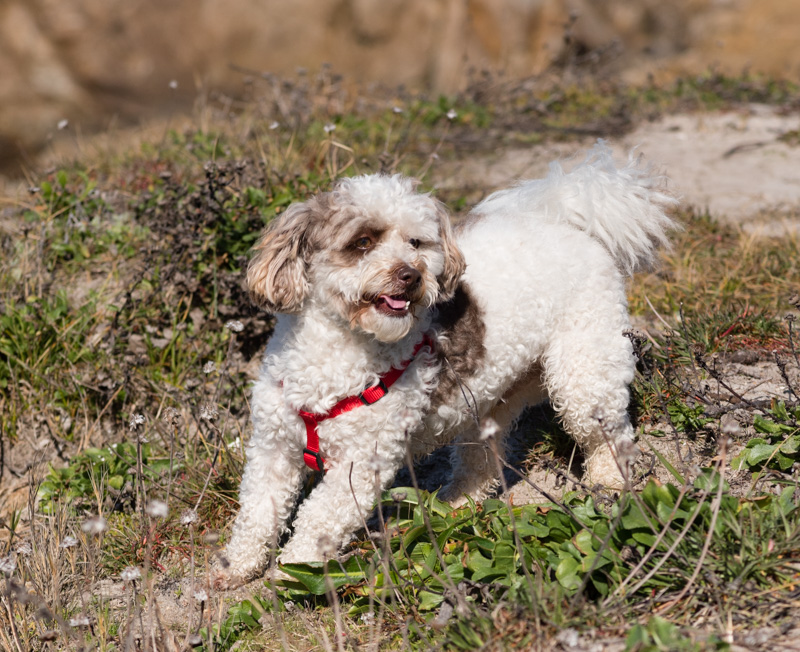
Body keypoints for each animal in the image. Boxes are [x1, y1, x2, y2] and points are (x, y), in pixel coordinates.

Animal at [214, 144, 676, 592]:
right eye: (362, 241)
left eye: (416, 243)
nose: (410, 275)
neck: (337, 350)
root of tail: (569, 221)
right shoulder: (273, 448)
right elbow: (257, 513)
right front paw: (237, 565)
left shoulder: (361, 463)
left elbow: (317, 519)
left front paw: (293, 571)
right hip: (490, 396)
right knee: (482, 459)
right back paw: (457, 502)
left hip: (584, 370)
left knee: (608, 433)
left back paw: (610, 482)